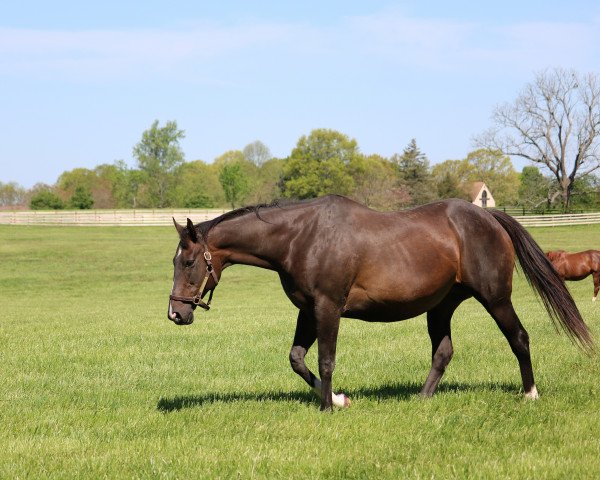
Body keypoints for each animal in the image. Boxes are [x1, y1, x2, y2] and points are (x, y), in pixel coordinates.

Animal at [165, 193, 592, 410]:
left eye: (188, 262)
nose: (175, 312)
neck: (301, 236)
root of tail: (489, 218)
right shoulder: (308, 310)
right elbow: (297, 359)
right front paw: (337, 399)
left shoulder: (327, 307)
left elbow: (326, 359)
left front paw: (328, 406)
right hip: (441, 306)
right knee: (443, 352)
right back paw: (421, 399)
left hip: (495, 298)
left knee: (519, 338)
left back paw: (530, 394)